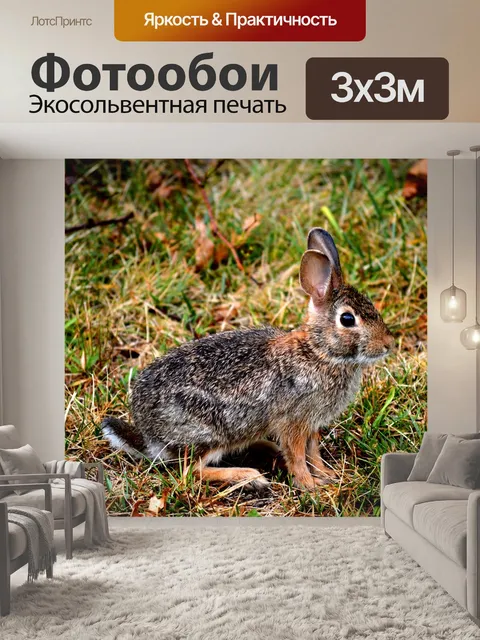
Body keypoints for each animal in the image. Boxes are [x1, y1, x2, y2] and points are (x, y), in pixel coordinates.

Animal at [102, 228, 394, 491]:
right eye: (347, 319)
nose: (388, 344)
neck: (319, 352)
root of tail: (149, 435)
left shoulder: (311, 424)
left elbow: (313, 453)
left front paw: (326, 476)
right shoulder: (293, 422)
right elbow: (298, 456)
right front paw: (310, 486)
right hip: (209, 432)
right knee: (191, 472)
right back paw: (250, 477)